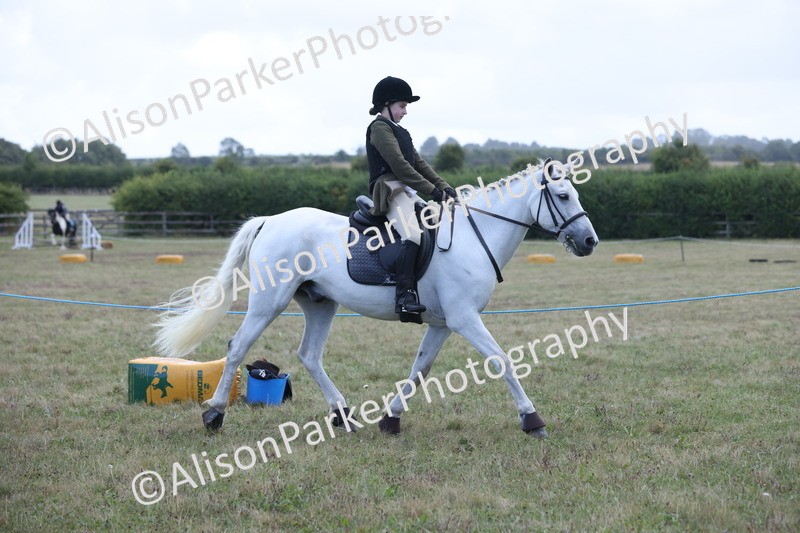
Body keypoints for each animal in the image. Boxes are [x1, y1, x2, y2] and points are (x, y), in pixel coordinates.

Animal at [154, 160, 599, 437]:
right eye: (562, 196)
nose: (589, 242)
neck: (475, 237)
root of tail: (270, 221)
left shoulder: (443, 323)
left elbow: (420, 369)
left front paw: (391, 419)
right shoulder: (464, 319)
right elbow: (502, 360)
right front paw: (533, 419)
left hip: (320, 302)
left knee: (309, 355)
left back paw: (343, 415)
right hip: (269, 302)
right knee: (237, 347)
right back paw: (214, 413)